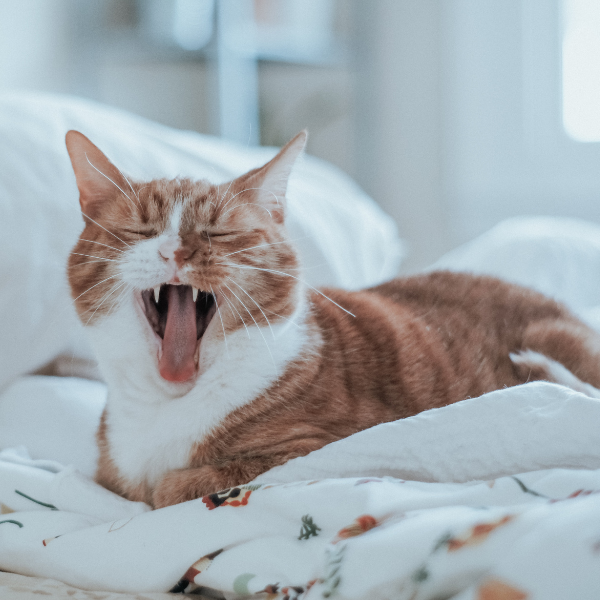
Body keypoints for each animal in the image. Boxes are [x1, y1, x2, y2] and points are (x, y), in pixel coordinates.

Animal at [64, 129, 600, 508]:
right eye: (141, 231)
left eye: (220, 233)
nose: (176, 251)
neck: (167, 405)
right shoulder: (107, 475)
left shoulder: (328, 446)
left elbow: (172, 487)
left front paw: (166, 485)